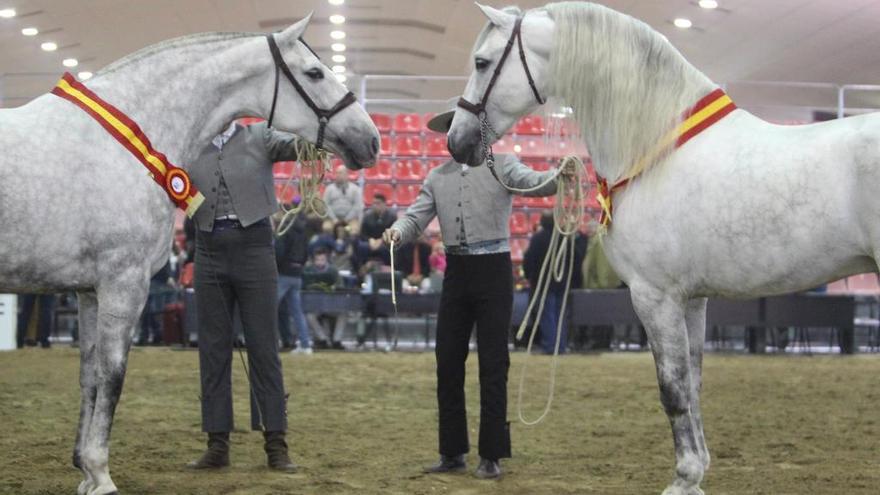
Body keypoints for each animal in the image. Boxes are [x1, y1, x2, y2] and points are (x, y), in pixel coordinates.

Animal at [0, 13, 378, 494]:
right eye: (314, 73)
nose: (371, 139)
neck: (130, 140)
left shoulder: (89, 291)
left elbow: (89, 377)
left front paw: (84, 472)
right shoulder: (124, 283)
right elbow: (112, 375)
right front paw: (100, 472)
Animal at [450, 1, 876, 494]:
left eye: (482, 62)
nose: (456, 141)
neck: (657, 148)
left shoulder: (655, 296)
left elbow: (671, 388)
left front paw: (684, 476)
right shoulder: (691, 299)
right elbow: (692, 382)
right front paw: (699, 470)